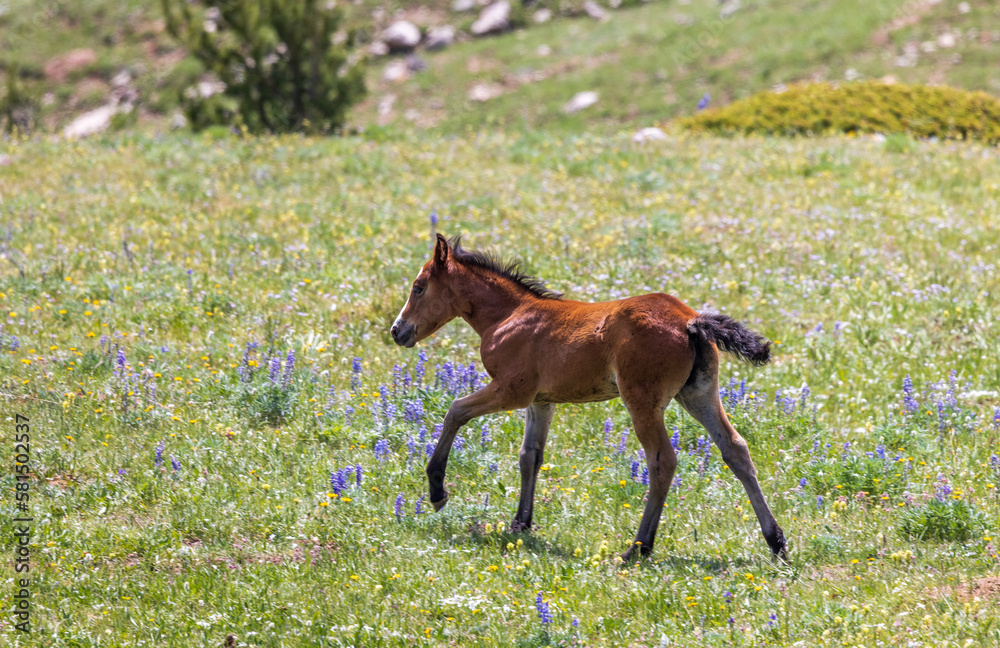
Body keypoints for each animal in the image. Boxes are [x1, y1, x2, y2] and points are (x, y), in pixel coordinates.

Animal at [390, 234, 788, 560]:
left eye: (419, 287)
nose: (397, 331)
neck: (508, 315)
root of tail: (690, 320)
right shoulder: (540, 400)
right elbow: (529, 456)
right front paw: (520, 523)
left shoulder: (512, 390)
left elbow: (455, 411)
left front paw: (437, 490)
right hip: (699, 394)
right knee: (735, 449)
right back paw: (776, 542)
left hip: (642, 400)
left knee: (663, 461)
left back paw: (638, 547)